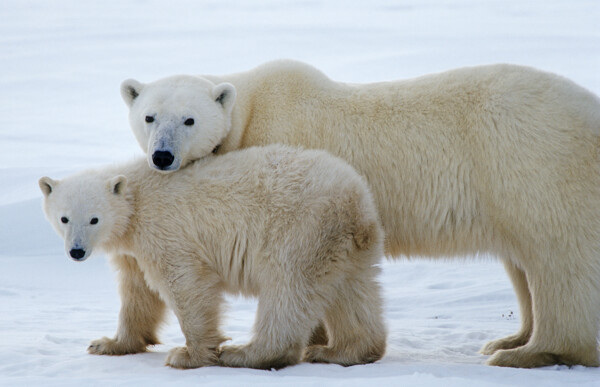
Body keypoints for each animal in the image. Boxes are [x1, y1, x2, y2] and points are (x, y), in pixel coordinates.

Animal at [38, 145, 384, 370]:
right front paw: (107, 344)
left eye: (94, 219)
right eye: (64, 218)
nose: (77, 251)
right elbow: (138, 293)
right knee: (353, 293)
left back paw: (246, 353)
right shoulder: (133, 252)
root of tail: (354, 203)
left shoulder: (164, 229)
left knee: (287, 288)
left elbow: (184, 282)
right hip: (345, 246)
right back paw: (343, 351)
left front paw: (188, 355)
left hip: (298, 228)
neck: (136, 199)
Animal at [119, 59, 600, 368]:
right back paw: (511, 337)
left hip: (531, 162)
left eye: (189, 120)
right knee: (522, 261)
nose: (162, 156)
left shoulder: (284, 153)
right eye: (149, 116)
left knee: (556, 256)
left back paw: (529, 352)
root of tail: (590, 113)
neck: (250, 112)